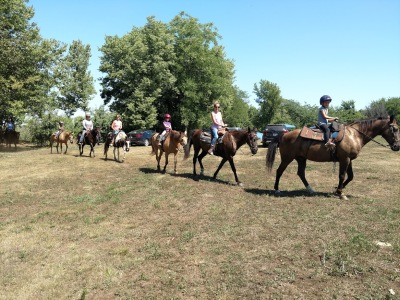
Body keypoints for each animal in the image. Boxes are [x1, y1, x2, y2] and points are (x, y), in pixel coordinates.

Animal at [266, 116, 400, 200]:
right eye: (395, 129)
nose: (397, 146)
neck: (355, 135)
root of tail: (284, 135)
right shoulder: (344, 159)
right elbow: (342, 176)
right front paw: (340, 193)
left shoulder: (349, 159)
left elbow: (350, 176)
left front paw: (337, 190)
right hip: (287, 158)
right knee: (279, 171)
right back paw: (277, 189)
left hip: (301, 158)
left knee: (301, 173)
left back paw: (310, 190)